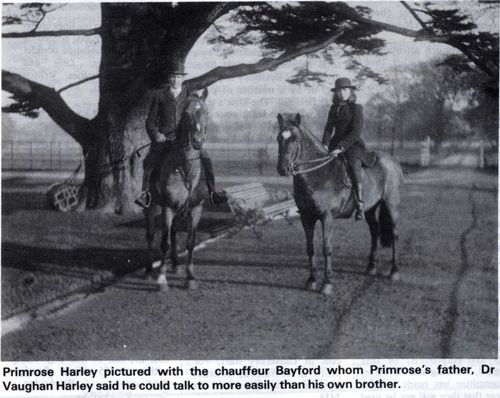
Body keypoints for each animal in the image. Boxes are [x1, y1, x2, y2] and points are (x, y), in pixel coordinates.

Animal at [144, 88, 208, 290]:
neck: (185, 168)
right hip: (151, 207)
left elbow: (190, 242)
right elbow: (163, 242)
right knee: (150, 235)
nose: (197, 141)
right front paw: (161, 279)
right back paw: (149, 270)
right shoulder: (167, 207)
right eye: (186, 114)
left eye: (206, 113)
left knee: (173, 233)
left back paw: (175, 264)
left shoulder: (196, 208)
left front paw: (190, 277)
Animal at [276, 113, 404, 294]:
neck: (318, 174)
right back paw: (371, 267)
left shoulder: (327, 218)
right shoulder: (306, 218)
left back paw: (394, 271)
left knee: (395, 234)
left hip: (391, 204)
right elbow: (310, 249)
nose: (283, 168)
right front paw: (311, 280)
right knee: (374, 232)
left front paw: (327, 283)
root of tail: (393, 161)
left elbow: (326, 248)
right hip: (370, 209)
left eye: (294, 139)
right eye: (279, 138)